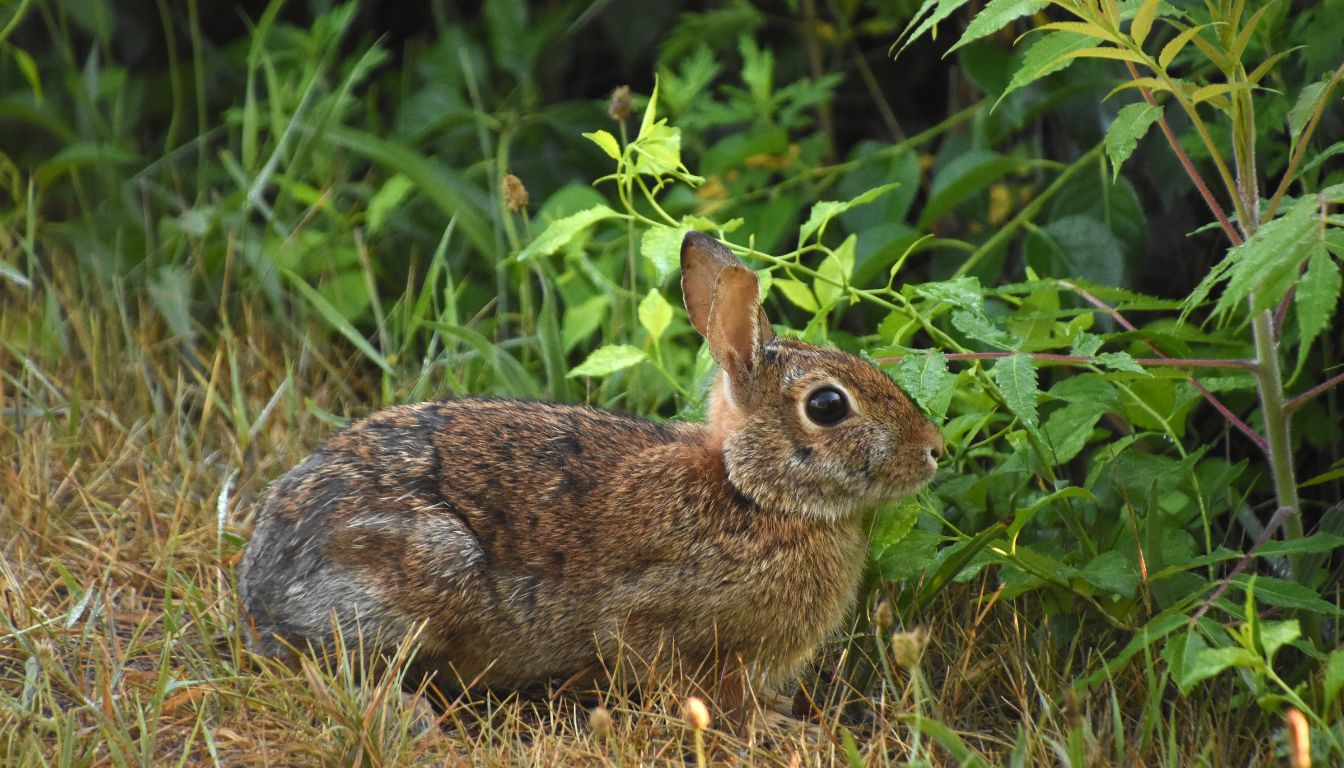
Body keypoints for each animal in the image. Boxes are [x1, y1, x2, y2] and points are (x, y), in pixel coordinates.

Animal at [238, 231, 943, 710]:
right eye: (827, 406)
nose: (935, 448)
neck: (752, 494)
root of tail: (261, 590)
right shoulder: (652, 617)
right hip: (422, 566)